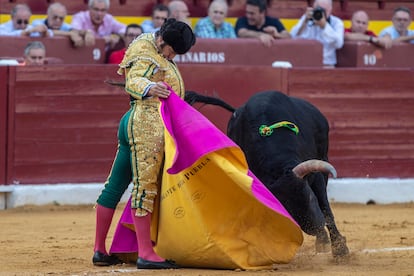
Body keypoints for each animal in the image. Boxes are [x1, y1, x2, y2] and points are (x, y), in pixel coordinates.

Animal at [186, 90, 350, 256]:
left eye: (310, 197)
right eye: (287, 210)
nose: (316, 228)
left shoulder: (316, 175)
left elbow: (326, 209)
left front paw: (340, 250)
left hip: (324, 156)